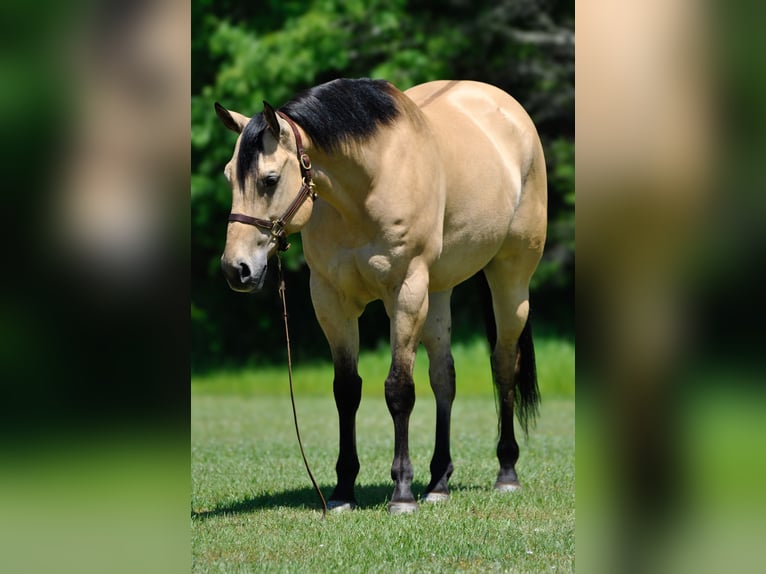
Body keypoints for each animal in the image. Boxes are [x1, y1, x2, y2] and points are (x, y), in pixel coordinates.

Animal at [215, 78, 547, 514]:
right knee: (444, 379)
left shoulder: (406, 292)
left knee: (504, 365)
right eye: (229, 177)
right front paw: (343, 490)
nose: (236, 269)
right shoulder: (331, 300)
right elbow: (346, 390)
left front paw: (402, 492)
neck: (367, 184)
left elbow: (398, 389)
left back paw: (506, 472)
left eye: (269, 180)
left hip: (510, 278)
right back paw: (438, 482)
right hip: (438, 292)